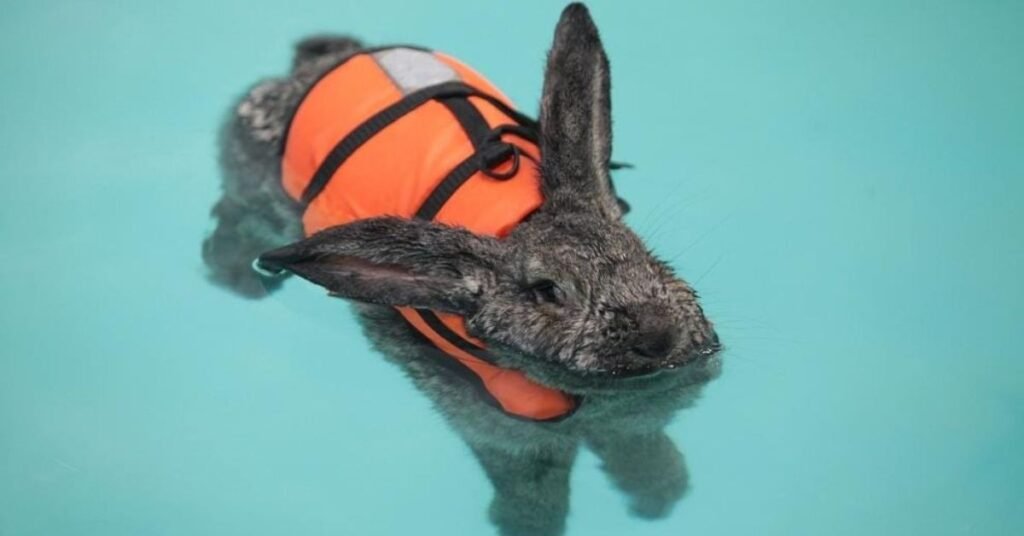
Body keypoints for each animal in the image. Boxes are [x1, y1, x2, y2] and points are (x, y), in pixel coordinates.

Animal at [201, 4, 721, 536]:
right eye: (547, 291)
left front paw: (659, 495)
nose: (658, 335)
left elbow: (639, 449)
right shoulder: (509, 438)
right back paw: (235, 274)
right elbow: (536, 488)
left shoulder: (633, 423)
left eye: (639, 250)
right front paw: (532, 524)